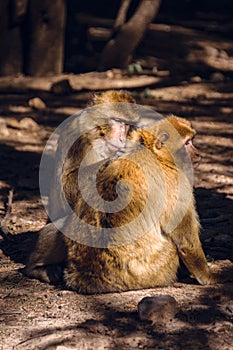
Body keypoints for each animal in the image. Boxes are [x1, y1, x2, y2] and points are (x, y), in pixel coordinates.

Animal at [23, 89, 215, 292]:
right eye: (187, 143)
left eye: (192, 141)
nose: (198, 153)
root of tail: (86, 275)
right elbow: (186, 241)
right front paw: (208, 277)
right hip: (159, 267)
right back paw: (36, 269)